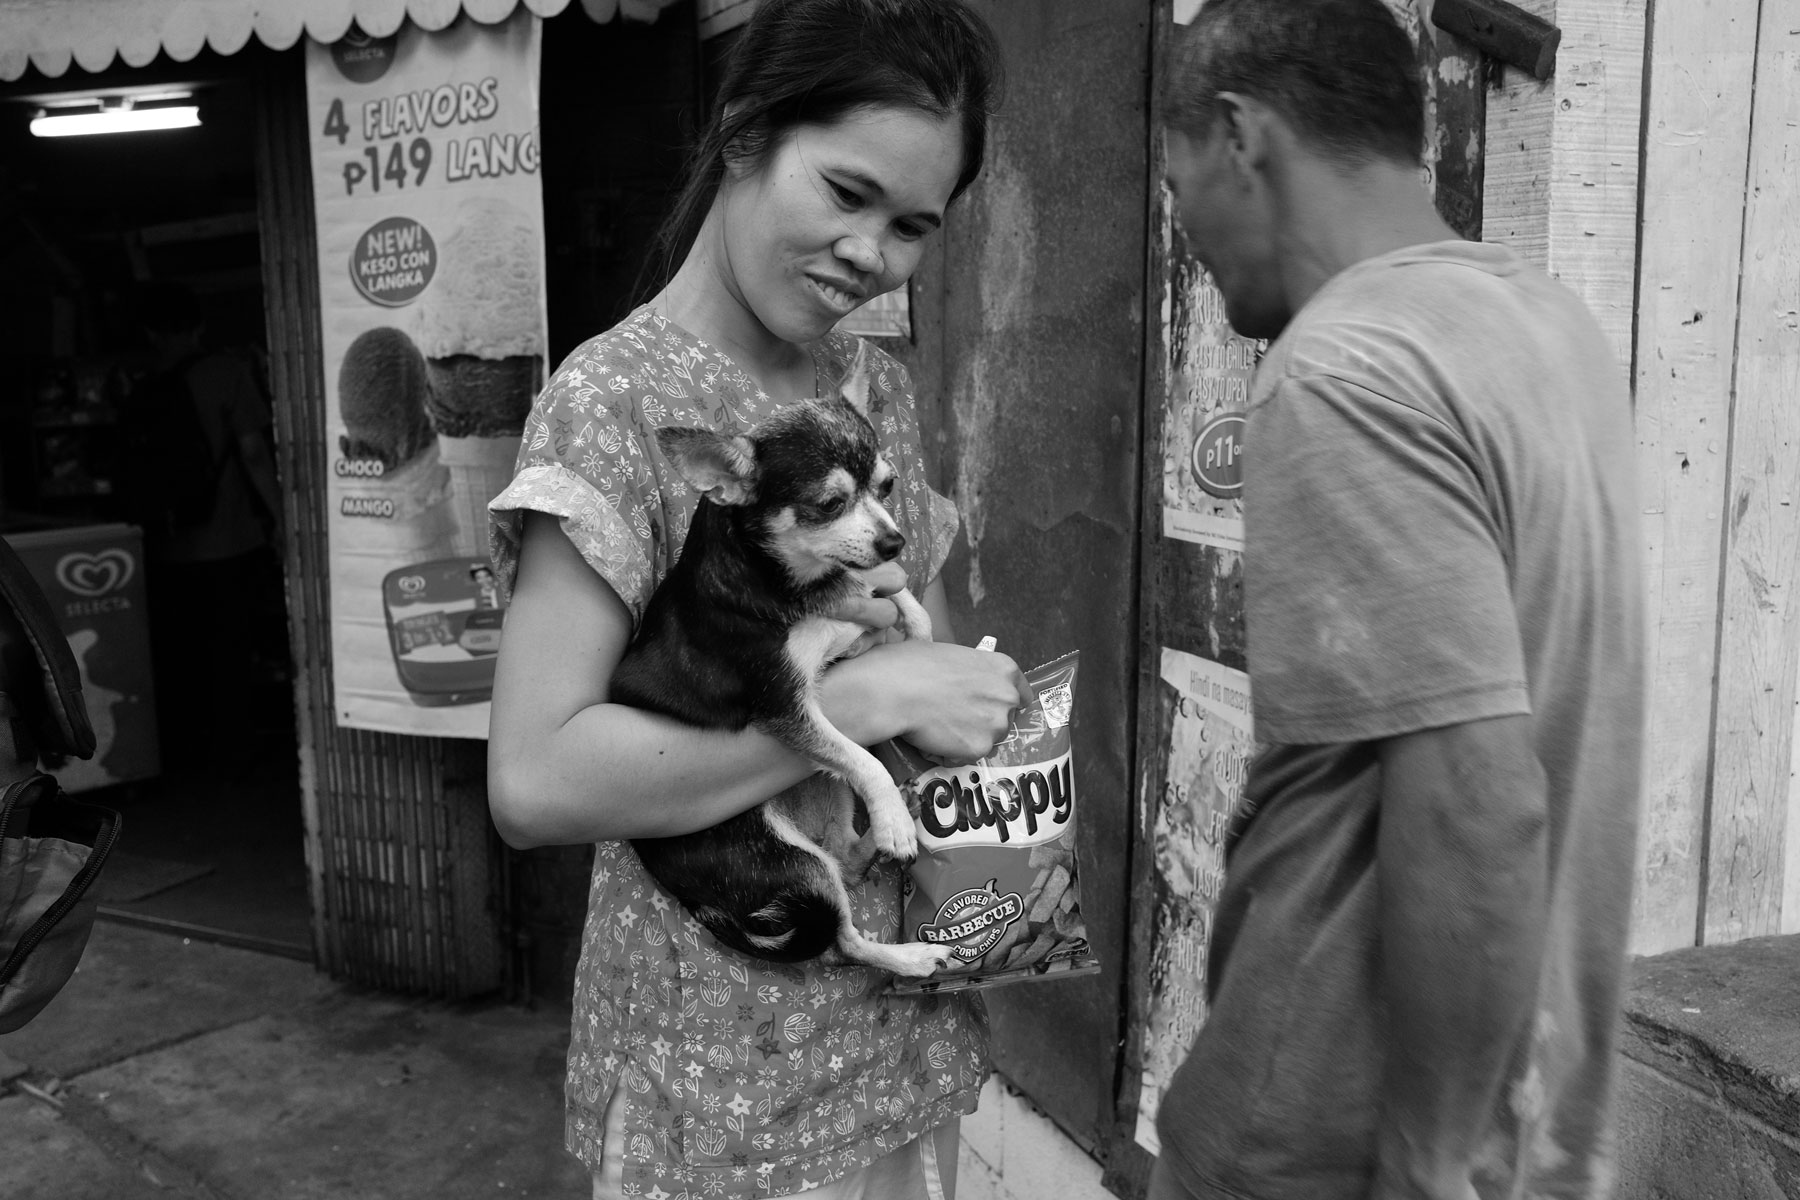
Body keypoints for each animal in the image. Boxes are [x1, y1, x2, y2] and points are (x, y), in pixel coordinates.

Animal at [612, 352, 957, 978]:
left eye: (888, 485)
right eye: (829, 504)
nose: (894, 541)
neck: (798, 580)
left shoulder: (859, 590)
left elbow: (894, 594)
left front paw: (917, 635)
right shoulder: (786, 707)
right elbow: (860, 758)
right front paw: (892, 818)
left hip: (820, 802)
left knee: (844, 858)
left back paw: (883, 832)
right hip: (787, 862)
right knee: (842, 936)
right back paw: (911, 946)